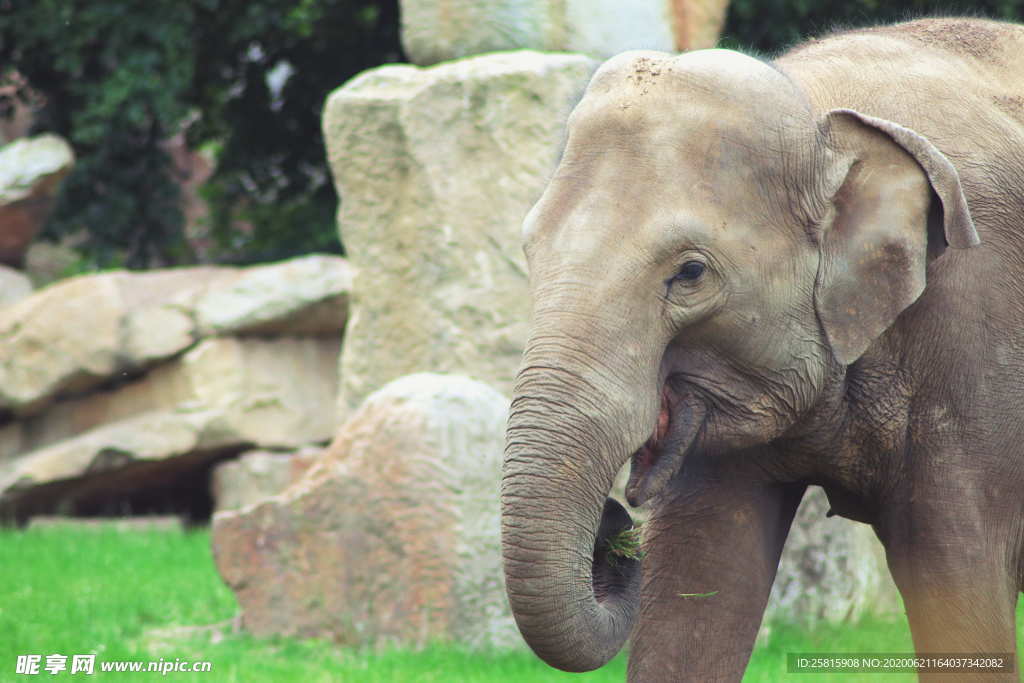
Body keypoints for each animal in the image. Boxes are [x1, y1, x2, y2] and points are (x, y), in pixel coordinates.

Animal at [499, 15, 1024, 683]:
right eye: (530, 251)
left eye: (690, 273)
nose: (614, 529)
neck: (820, 111)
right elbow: (699, 580)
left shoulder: (977, 343)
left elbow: (957, 582)